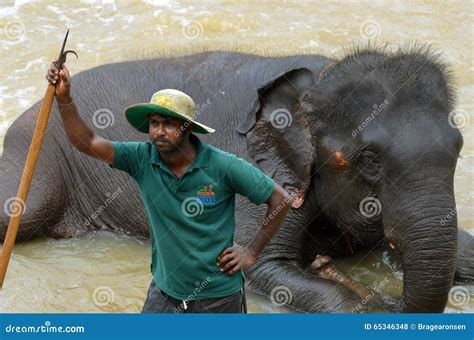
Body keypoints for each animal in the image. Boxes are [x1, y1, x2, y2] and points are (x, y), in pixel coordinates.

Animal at [0, 46, 472, 312]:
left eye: (458, 147)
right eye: (369, 160)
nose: (325, 263)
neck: (320, 79)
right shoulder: (259, 164)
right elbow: (262, 267)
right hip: (34, 154)